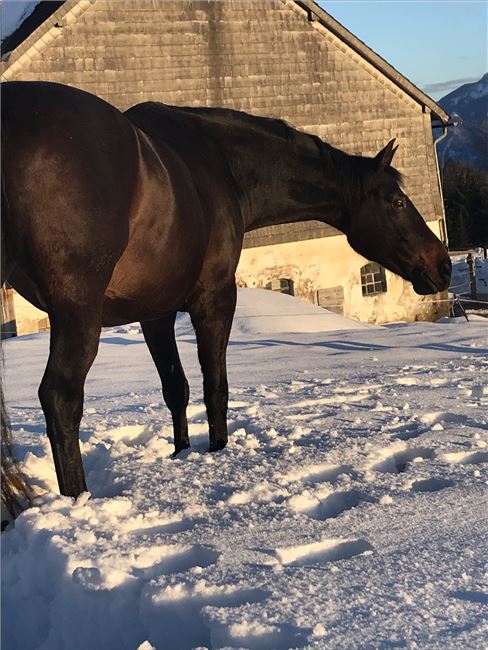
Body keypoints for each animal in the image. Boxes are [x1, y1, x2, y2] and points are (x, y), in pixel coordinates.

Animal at [0, 81, 452, 496]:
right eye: (396, 201)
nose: (443, 265)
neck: (218, 165)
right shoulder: (214, 300)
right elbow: (214, 386)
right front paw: (218, 450)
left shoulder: (156, 315)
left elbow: (176, 388)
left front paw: (182, 454)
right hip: (78, 314)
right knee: (60, 398)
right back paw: (78, 499)